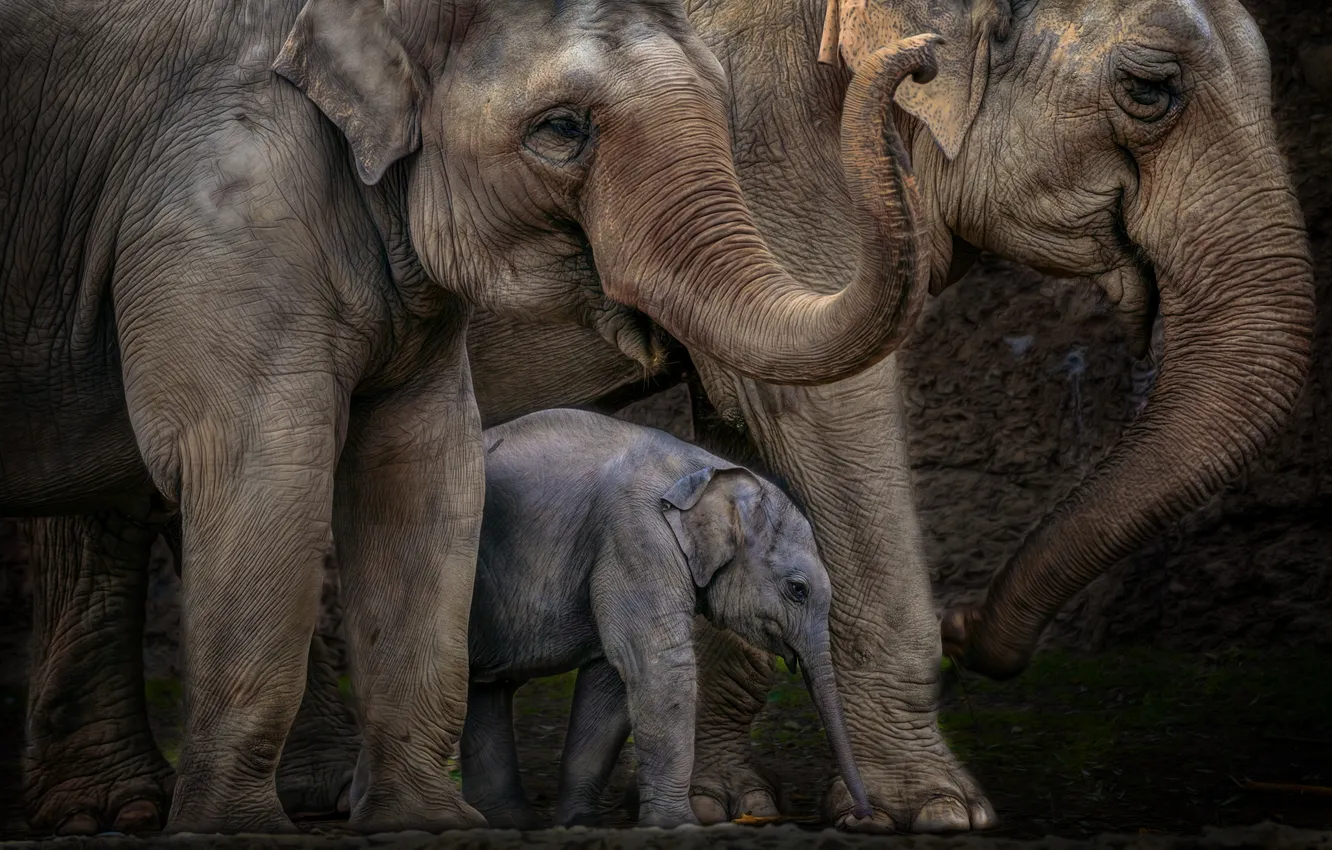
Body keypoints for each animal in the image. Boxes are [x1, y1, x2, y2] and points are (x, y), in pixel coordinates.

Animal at [356, 408, 871, 828]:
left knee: (487, 687)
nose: (861, 817)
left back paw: (511, 823)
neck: (704, 467)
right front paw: (679, 827)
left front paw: (579, 824)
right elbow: (655, 664)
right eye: (797, 590)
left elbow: (609, 680)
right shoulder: (635, 536)